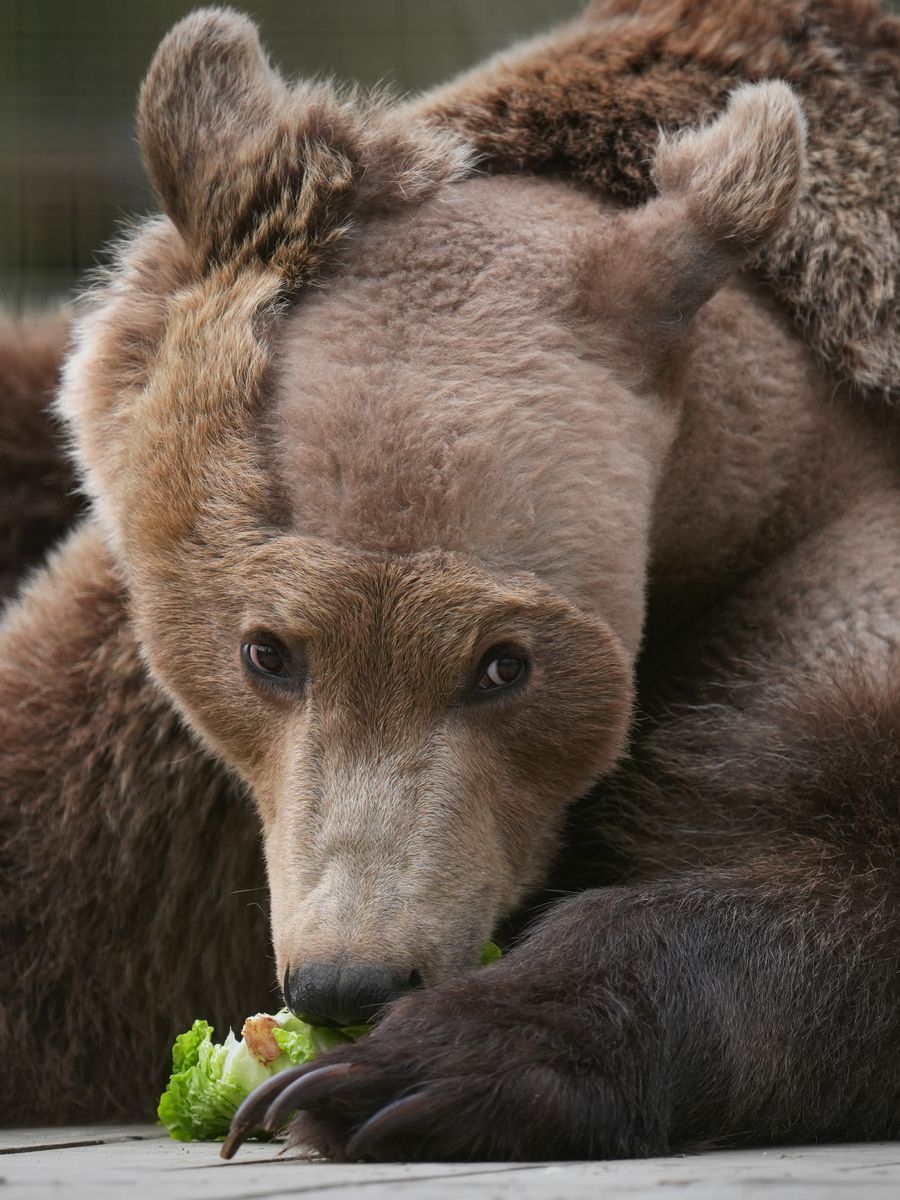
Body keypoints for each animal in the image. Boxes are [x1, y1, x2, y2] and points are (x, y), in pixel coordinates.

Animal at [1, 0, 900, 1161]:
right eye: (266, 652)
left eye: (505, 666)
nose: (349, 978)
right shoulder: (140, 759)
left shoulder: (820, 556)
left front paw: (408, 1065)